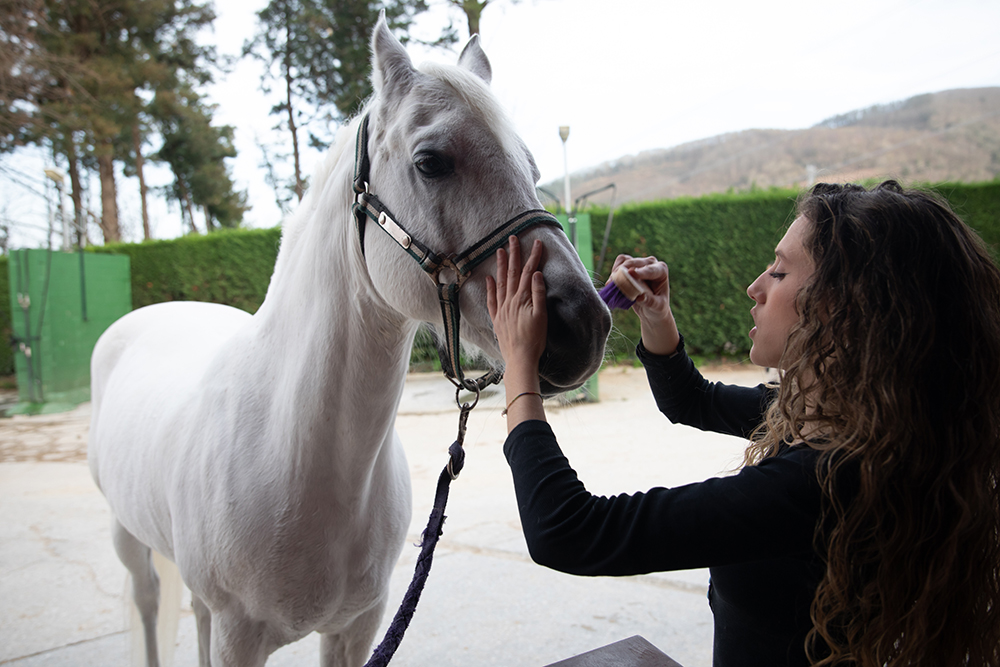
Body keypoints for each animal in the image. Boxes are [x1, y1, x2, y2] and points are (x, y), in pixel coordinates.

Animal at [87, 15, 611, 667]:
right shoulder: (237, 637)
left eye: (533, 169)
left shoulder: (356, 627)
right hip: (127, 540)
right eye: (431, 161)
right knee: (148, 603)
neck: (298, 459)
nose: (582, 326)